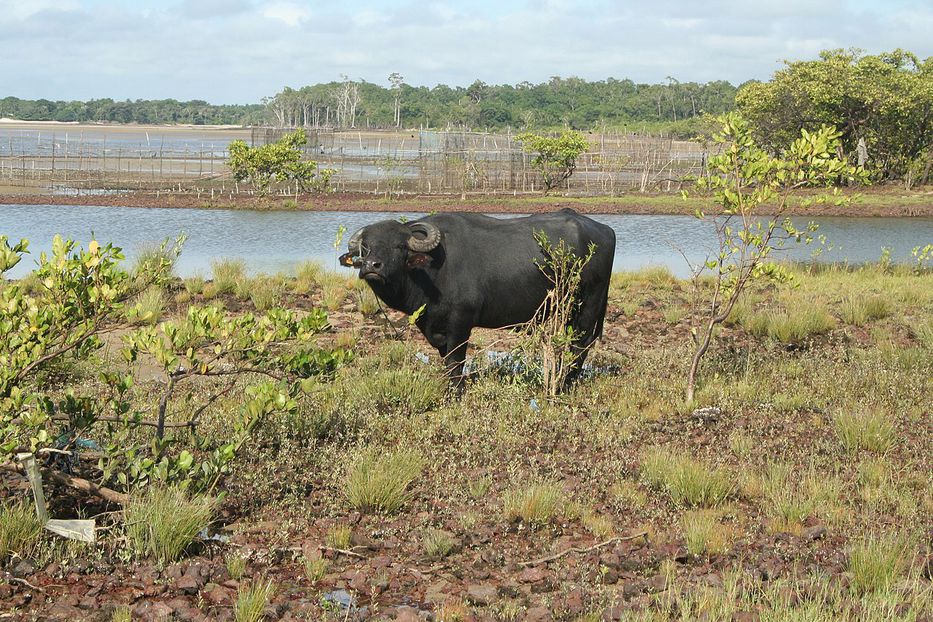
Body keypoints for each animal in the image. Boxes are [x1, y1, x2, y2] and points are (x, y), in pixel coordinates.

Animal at [338, 212, 616, 392]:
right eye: (366, 247)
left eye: (398, 246)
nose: (372, 266)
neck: (433, 270)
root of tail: (605, 230)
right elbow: (446, 361)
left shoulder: (461, 323)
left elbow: (456, 360)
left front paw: (455, 392)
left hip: (589, 304)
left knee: (580, 344)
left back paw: (565, 383)